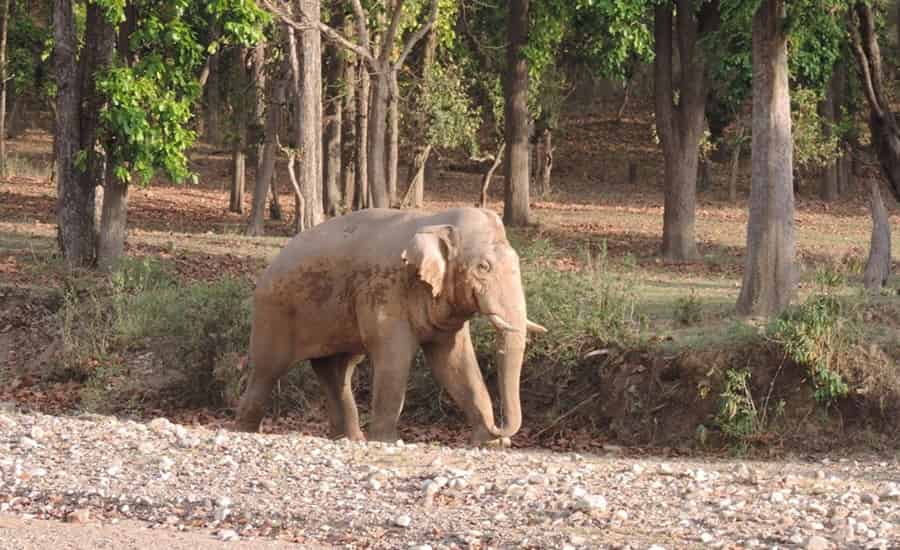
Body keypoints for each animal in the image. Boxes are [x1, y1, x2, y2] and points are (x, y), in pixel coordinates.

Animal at [236, 208, 544, 448]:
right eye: (483, 267)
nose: (500, 429)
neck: (434, 220)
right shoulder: (385, 291)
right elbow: (394, 358)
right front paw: (388, 441)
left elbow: (455, 362)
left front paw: (490, 444)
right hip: (274, 313)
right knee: (267, 369)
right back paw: (245, 430)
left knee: (337, 370)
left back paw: (350, 439)